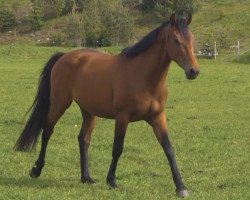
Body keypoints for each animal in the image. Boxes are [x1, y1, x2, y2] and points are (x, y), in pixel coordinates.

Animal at [15, 13, 199, 197]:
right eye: (176, 39)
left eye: (192, 38)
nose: (194, 71)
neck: (143, 76)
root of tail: (65, 56)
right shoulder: (122, 117)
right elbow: (117, 148)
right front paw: (111, 180)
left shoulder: (157, 117)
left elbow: (169, 149)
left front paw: (181, 187)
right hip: (60, 103)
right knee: (47, 131)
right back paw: (36, 170)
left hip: (89, 112)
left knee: (83, 139)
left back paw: (86, 177)